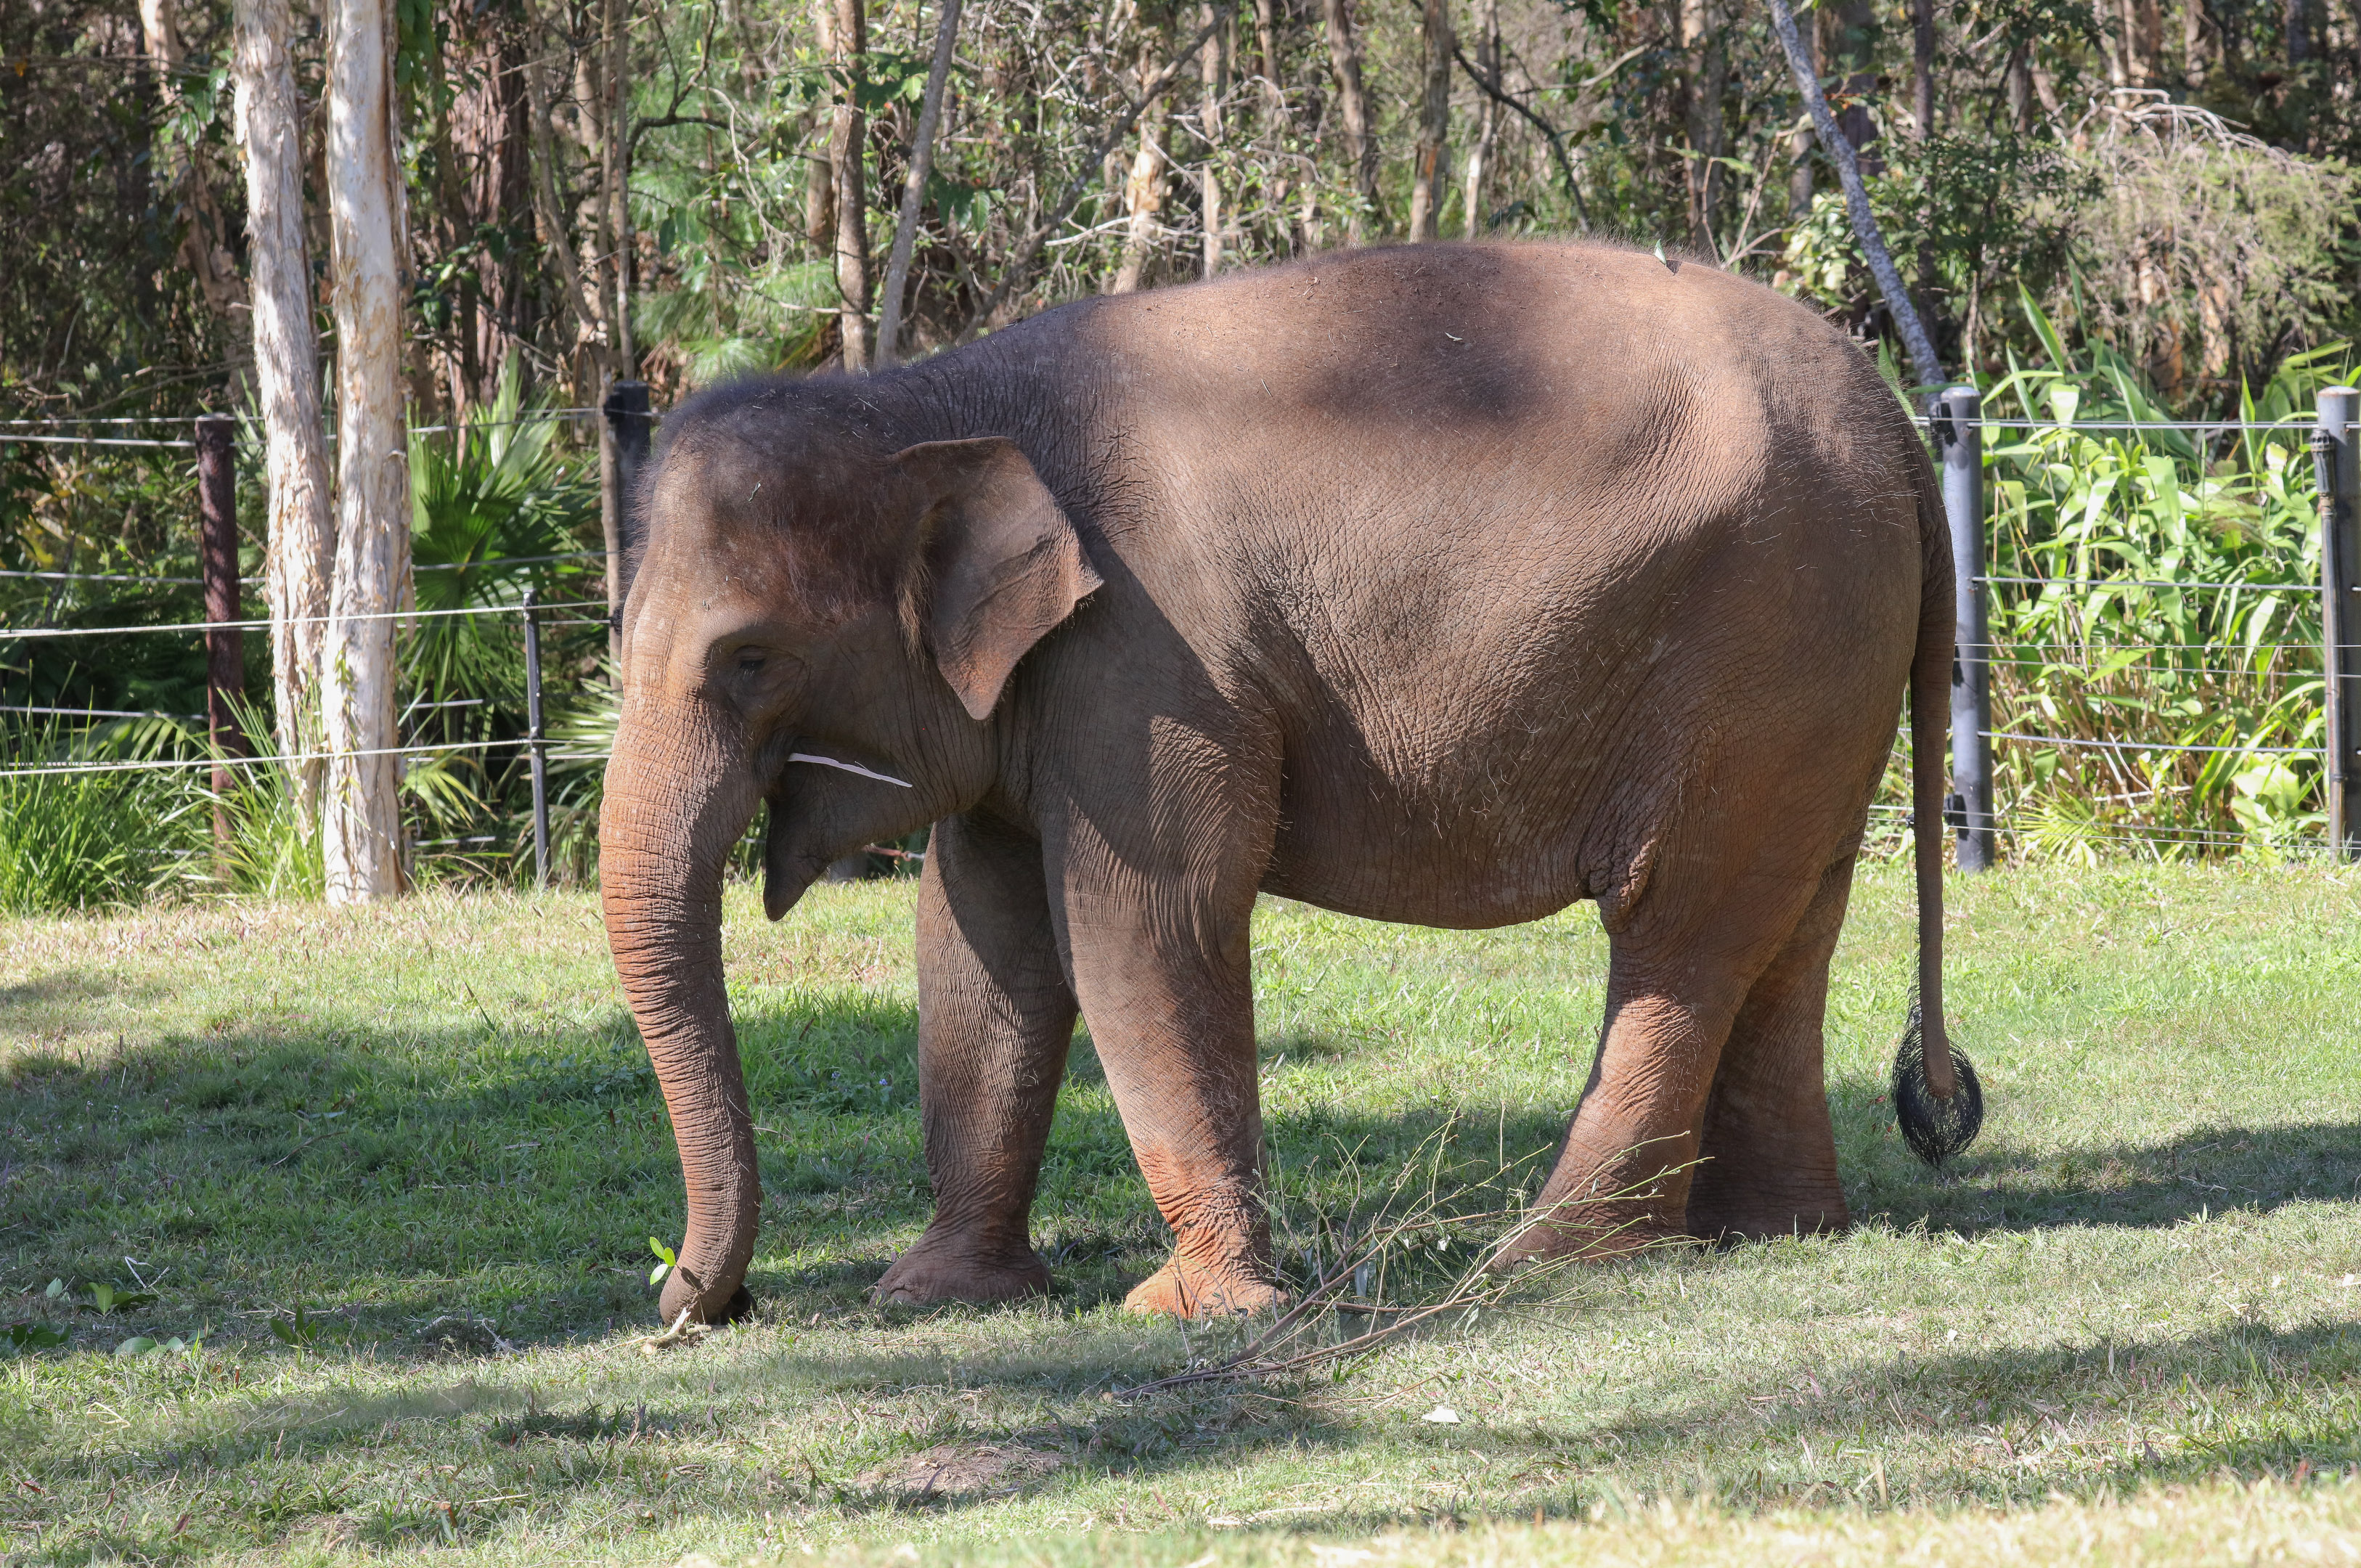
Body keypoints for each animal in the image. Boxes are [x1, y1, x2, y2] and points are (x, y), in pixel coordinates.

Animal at [600, 239, 1983, 1327]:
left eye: (748, 659)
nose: (699, 1299)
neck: (922, 395)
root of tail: (1904, 436)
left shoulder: (1151, 663)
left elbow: (1142, 924)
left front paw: (1192, 1310)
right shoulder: (1039, 690)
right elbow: (978, 937)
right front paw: (936, 1295)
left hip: (1762, 643)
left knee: (1679, 936)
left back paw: (1539, 1263)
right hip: (1818, 679)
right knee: (1790, 925)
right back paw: (1774, 1233)